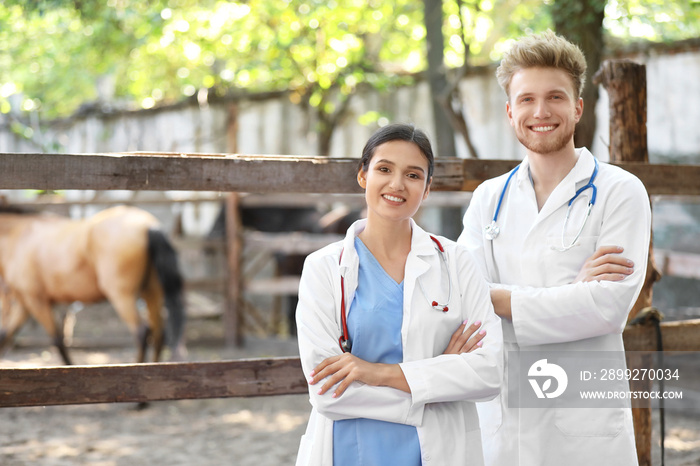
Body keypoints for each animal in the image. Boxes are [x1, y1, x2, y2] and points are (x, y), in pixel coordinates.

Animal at [0, 207, 186, 364]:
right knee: (159, 334)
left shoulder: (35, 299)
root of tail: (148, 225)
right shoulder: (25, 303)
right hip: (152, 292)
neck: (19, 236)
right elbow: (6, 334)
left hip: (121, 296)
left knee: (142, 332)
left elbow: (57, 340)